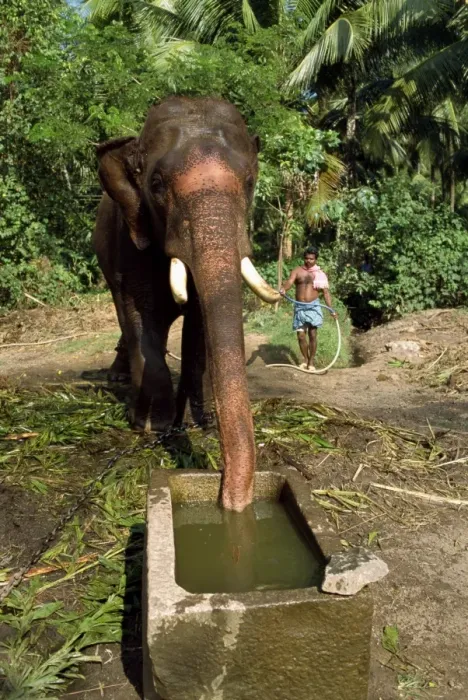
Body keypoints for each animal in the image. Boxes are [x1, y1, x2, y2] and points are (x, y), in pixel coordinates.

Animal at [93, 96, 281, 512]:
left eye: (250, 182)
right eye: (156, 185)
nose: (232, 501)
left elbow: (198, 326)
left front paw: (197, 422)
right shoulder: (131, 241)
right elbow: (140, 318)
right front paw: (152, 426)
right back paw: (120, 380)